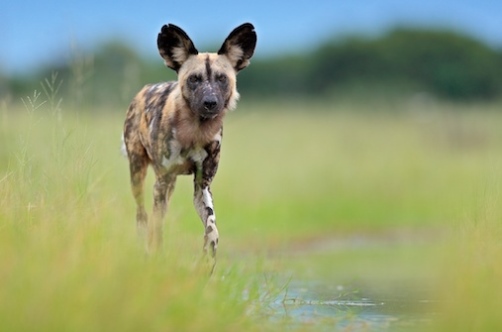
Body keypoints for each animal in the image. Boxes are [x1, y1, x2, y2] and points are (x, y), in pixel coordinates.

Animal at [123, 23, 256, 260]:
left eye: (222, 78)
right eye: (194, 78)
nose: (210, 102)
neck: (195, 130)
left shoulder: (202, 186)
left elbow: (212, 229)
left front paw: (207, 258)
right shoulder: (161, 181)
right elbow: (156, 226)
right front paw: (156, 256)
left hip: (169, 185)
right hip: (139, 175)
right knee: (143, 215)